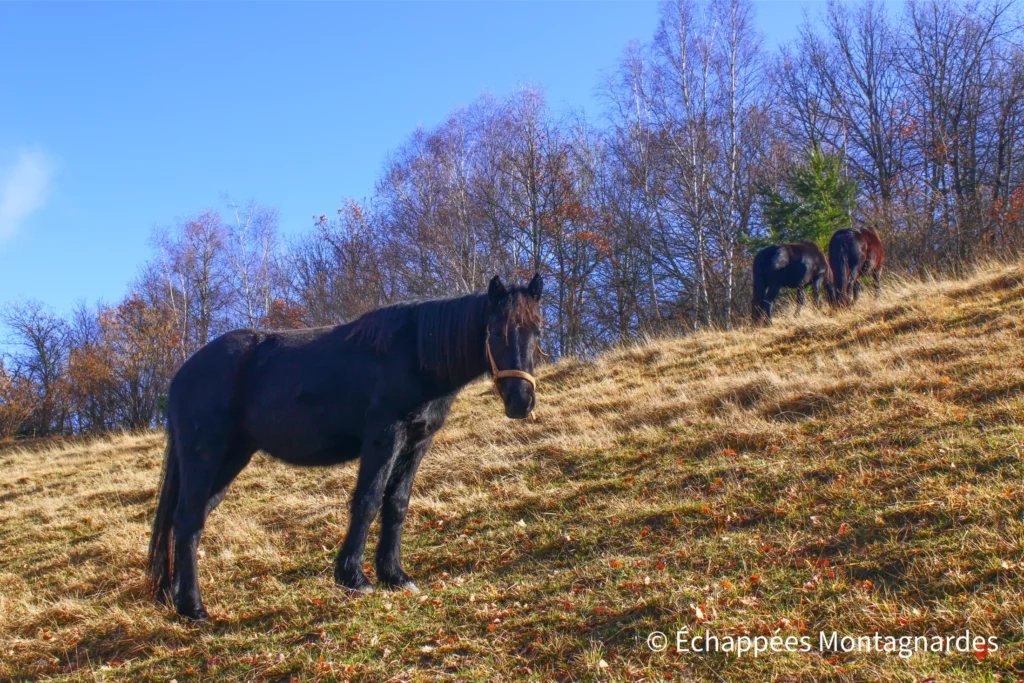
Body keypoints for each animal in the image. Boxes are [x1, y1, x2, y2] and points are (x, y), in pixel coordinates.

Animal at [148, 274, 544, 621]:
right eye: (494, 331)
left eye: (536, 330)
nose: (520, 401)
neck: (414, 354)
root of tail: (182, 374)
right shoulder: (384, 437)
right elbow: (367, 501)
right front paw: (354, 577)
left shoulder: (417, 442)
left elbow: (397, 504)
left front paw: (395, 576)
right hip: (205, 457)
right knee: (188, 522)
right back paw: (194, 609)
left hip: (230, 460)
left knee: (185, 524)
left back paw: (176, 598)